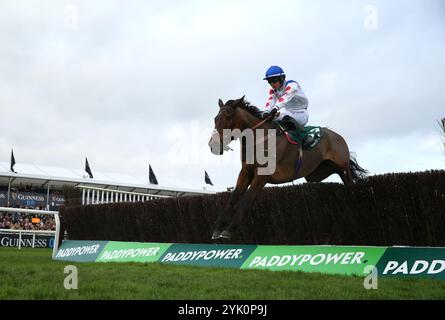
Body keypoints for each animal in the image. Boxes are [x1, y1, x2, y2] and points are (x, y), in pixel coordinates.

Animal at [206, 95, 366, 240]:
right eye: (215, 119)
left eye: (228, 117)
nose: (213, 145)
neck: (259, 140)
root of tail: (337, 135)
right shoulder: (245, 172)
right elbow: (232, 199)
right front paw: (217, 229)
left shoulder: (262, 176)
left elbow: (246, 200)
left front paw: (229, 230)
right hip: (315, 174)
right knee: (338, 172)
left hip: (340, 160)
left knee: (347, 169)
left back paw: (353, 192)